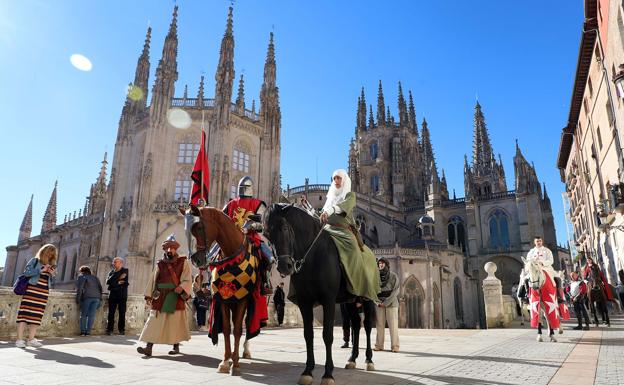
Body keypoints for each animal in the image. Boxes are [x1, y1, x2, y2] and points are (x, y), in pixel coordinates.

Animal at [184, 206, 264, 374]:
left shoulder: (242, 299)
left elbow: (238, 329)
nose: (196, 260)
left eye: (198, 227)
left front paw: (236, 363)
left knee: (247, 325)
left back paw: (244, 351)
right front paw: (226, 361)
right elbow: (227, 329)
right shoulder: (224, 300)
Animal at [264, 202, 376, 382]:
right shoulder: (304, 302)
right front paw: (308, 371)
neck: (314, 255)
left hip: (367, 298)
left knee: (366, 326)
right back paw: (352, 359)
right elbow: (308, 334)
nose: (284, 266)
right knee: (356, 325)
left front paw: (328, 374)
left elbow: (327, 335)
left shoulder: (328, 300)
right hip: (350, 301)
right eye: (266, 234)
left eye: (285, 228)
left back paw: (369, 360)